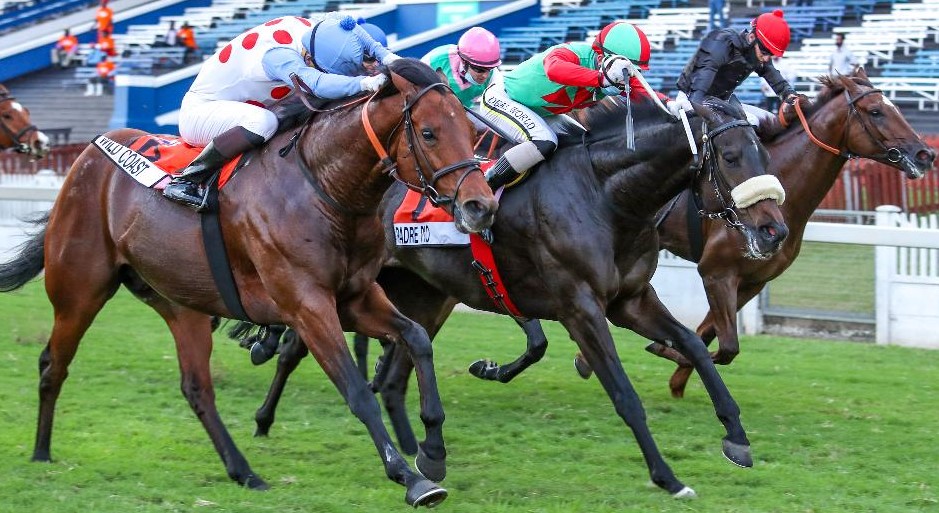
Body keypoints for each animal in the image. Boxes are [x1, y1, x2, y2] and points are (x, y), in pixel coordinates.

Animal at [0, 60, 500, 508]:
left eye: (470, 131)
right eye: (430, 133)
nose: (481, 205)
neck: (324, 188)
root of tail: (86, 158)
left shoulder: (356, 298)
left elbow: (416, 339)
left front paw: (432, 453)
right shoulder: (307, 306)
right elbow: (357, 391)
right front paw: (410, 478)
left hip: (181, 303)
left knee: (196, 388)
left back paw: (243, 471)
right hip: (79, 289)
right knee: (53, 363)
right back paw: (41, 451)